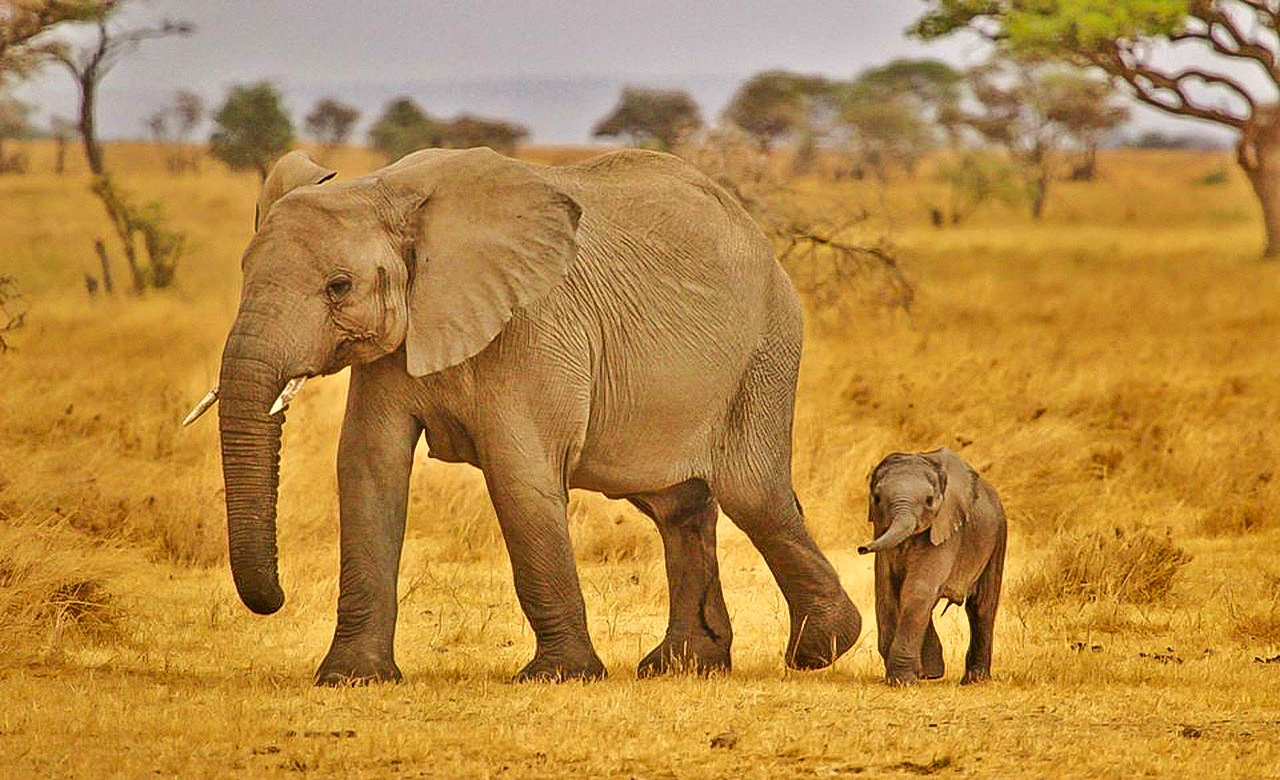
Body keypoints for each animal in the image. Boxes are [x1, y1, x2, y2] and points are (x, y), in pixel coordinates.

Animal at [186, 144, 860, 681]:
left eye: (338, 286)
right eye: (243, 271)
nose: (274, 599)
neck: (388, 192)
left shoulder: (534, 327)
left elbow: (519, 478)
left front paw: (561, 676)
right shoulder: (396, 344)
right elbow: (368, 468)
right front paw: (352, 678)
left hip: (765, 350)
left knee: (753, 494)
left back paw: (819, 651)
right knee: (677, 506)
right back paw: (683, 665)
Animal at [860, 448, 1008, 686]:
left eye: (930, 501)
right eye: (877, 498)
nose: (862, 548)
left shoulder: (948, 527)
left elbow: (919, 588)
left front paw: (903, 681)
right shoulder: (881, 531)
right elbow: (887, 591)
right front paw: (915, 676)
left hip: (998, 536)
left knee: (982, 606)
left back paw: (974, 680)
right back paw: (932, 674)